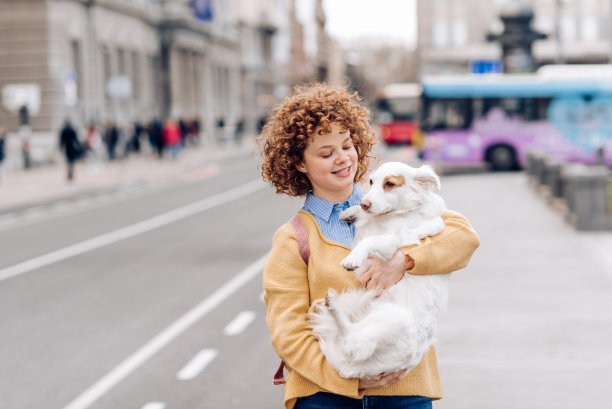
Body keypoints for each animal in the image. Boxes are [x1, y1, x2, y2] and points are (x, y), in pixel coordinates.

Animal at [310, 161, 450, 378]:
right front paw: (350, 212)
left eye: (390, 184)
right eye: (371, 181)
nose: (365, 203)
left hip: (392, 320)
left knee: (351, 339)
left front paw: (353, 258)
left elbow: (369, 240)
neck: (399, 213)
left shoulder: (394, 245)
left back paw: (333, 304)